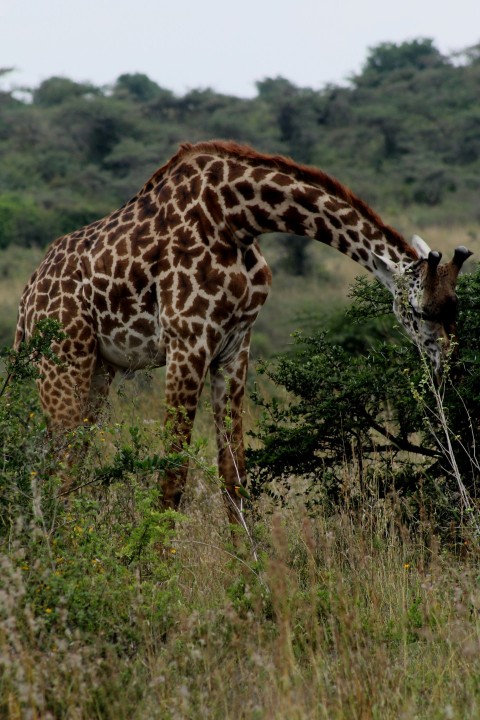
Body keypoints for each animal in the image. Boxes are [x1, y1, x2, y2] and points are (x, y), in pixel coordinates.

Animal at [15, 140, 472, 522]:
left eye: (456, 306)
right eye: (420, 311)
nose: (450, 368)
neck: (237, 217)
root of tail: (27, 299)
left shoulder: (234, 347)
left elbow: (232, 474)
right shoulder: (187, 342)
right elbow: (174, 473)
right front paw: (151, 567)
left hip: (99, 369)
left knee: (63, 463)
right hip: (62, 361)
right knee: (52, 465)